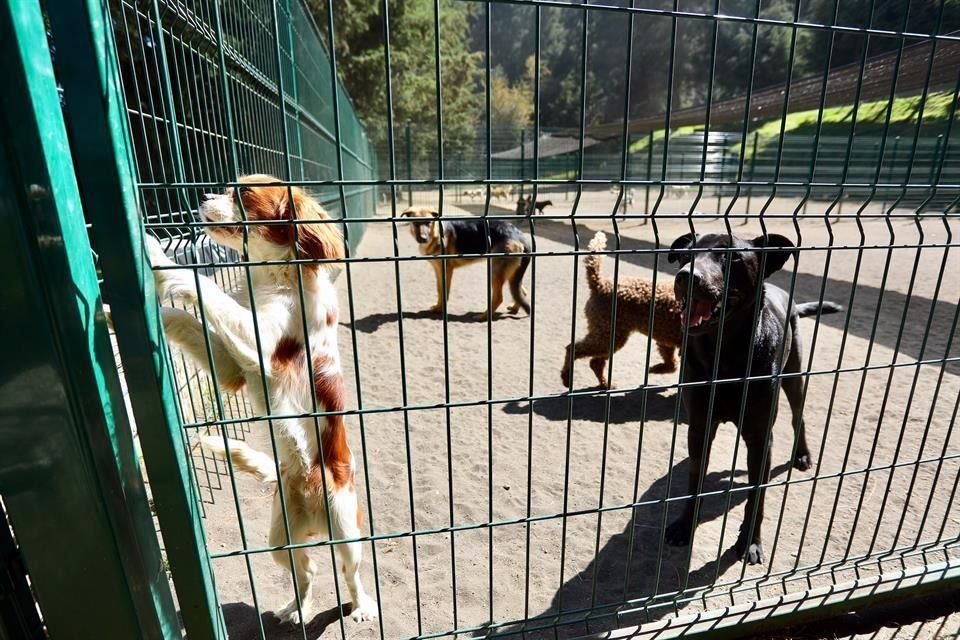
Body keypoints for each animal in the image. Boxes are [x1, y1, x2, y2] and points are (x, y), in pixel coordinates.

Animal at [146, 175, 378, 624]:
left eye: (244, 194)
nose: (203, 196)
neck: (275, 277)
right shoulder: (235, 369)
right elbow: (191, 321)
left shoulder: (262, 345)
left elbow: (203, 285)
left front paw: (154, 256)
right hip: (279, 539)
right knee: (308, 571)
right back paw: (298, 609)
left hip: (346, 529)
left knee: (350, 572)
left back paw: (360, 608)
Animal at [560, 231, 688, 388]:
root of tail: (599, 284)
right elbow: (674, 365)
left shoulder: (666, 339)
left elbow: (672, 364)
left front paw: (655, 369)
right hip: (609, 334)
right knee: (573, 349)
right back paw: (566, 378)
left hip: (610, 333)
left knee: (595, 362)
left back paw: (605, 384)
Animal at [668, 231, 840, 564]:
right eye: (685, 255)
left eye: (732, 256)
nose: (685, 276)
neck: (724, 356)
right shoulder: (699, 427)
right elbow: (695, 482)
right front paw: (684, 526)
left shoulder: (761, 438)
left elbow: (756, 496)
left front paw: (749, 542)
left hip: (794, 376)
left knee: (798, 415)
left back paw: (802, 454)